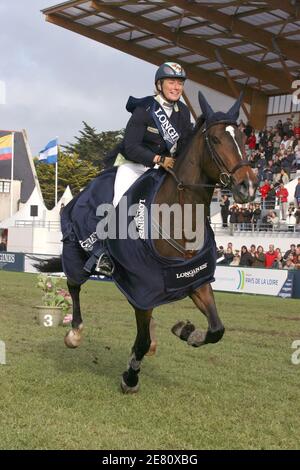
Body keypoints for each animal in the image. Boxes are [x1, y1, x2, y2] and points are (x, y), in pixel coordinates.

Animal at [37, 92, 258, 392]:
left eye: (244, 140)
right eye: (214, 139)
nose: (249, 185)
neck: (179, 217)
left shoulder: (194, 279)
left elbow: (216, 329)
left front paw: (187, 332)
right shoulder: (142, 288)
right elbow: (140, 341)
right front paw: (130, 376)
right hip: (75, 251)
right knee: (73, 285)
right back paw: (75, 333)